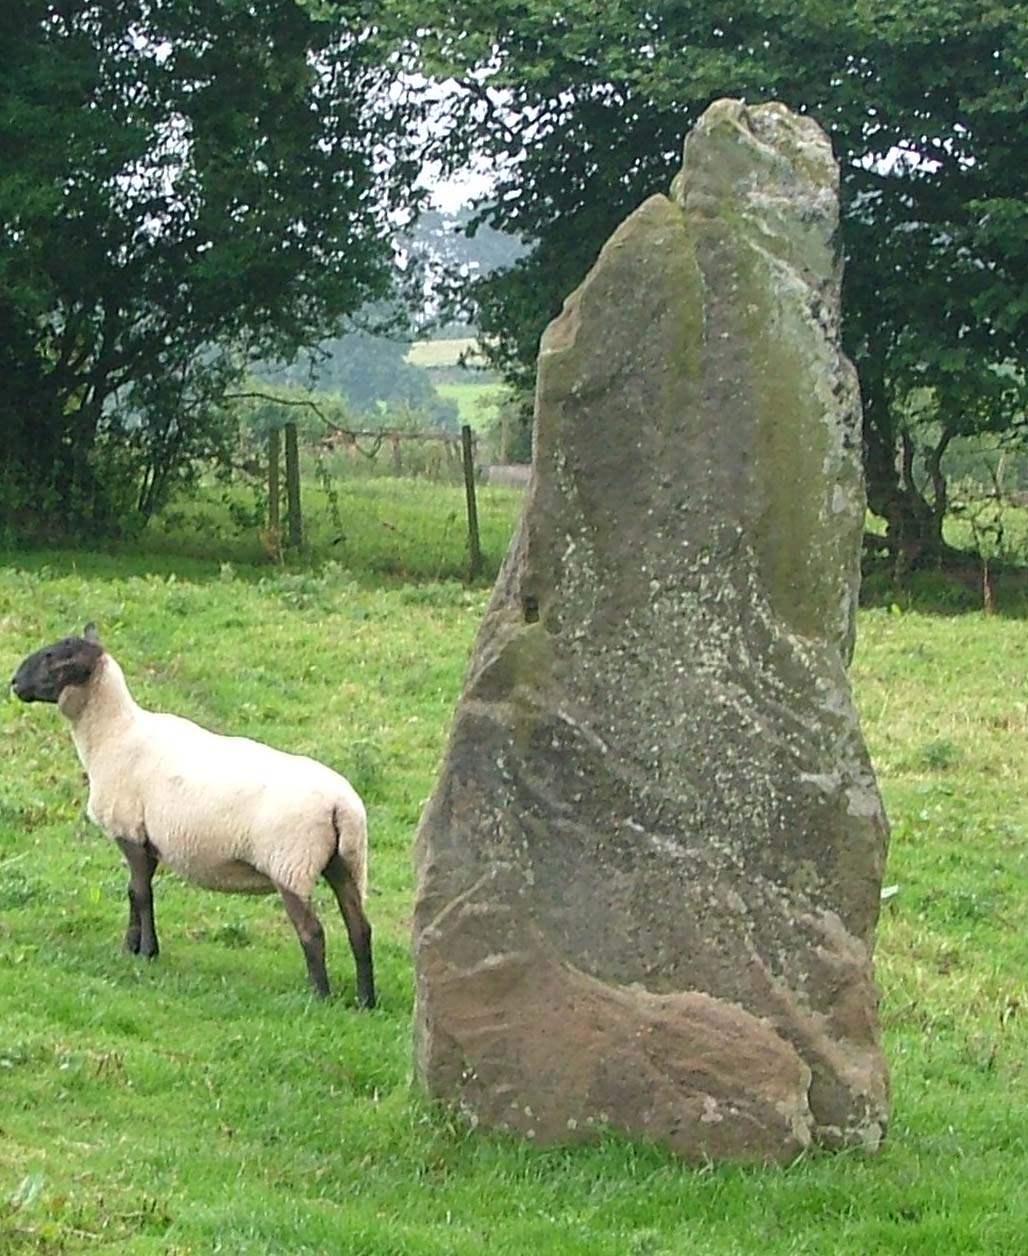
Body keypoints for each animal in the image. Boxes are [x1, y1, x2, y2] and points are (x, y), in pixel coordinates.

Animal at [9, 622, 371, 1004]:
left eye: (56, 657)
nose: (14, 682)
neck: (113, 734)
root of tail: (341, 804)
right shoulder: (146, 838)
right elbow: (134, 892)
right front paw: (131, 947)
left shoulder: (129, 831)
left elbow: (141, 893)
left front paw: (146, 952)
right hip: (346, 862)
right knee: (359, 928)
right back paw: (365, 1001)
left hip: (291, 863)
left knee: (312, 931)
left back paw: (319, 996)